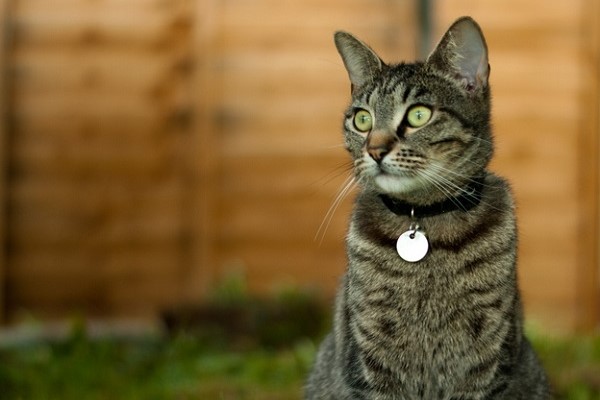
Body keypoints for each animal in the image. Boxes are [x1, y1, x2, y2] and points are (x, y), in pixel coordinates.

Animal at [308, 17, 552, 398]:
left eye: (419, 115)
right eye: (361, 120)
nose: (374, 150)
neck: (423, 219)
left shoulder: (488, 353)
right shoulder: (369, 351)